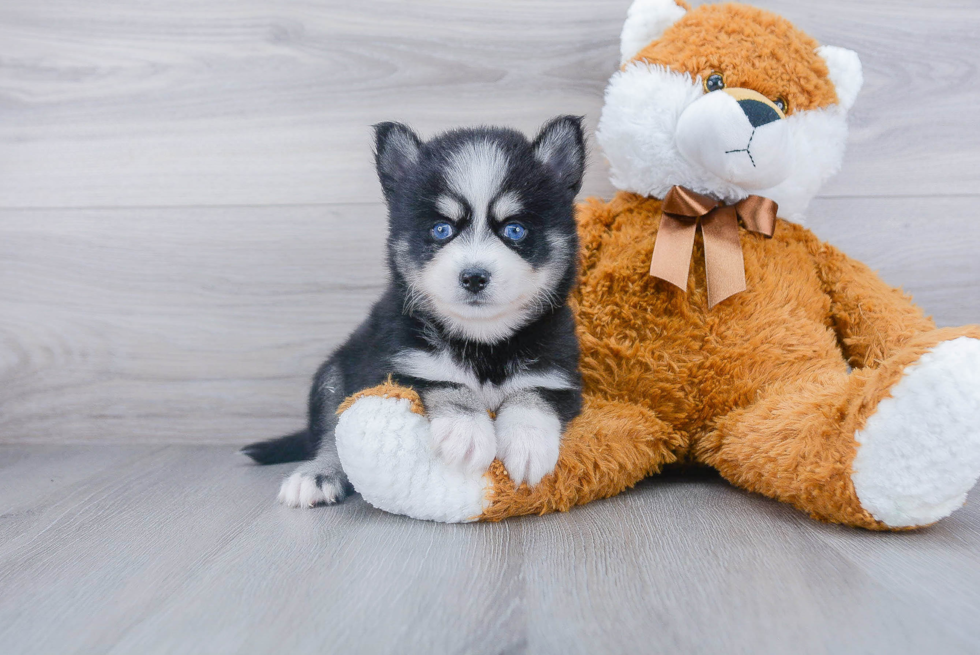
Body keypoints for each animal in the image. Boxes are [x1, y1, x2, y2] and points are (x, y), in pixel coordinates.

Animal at [241, 116, 584, 508]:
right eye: (441, 229)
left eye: (515, 229)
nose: (474, 276)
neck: (482, 344)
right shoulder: (391, 366)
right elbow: (439, 380)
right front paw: (466, 429)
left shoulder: (561, 375)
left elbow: (533, 394)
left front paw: (528, 442)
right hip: (334, 374)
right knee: (331, 433)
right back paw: (317, 474)